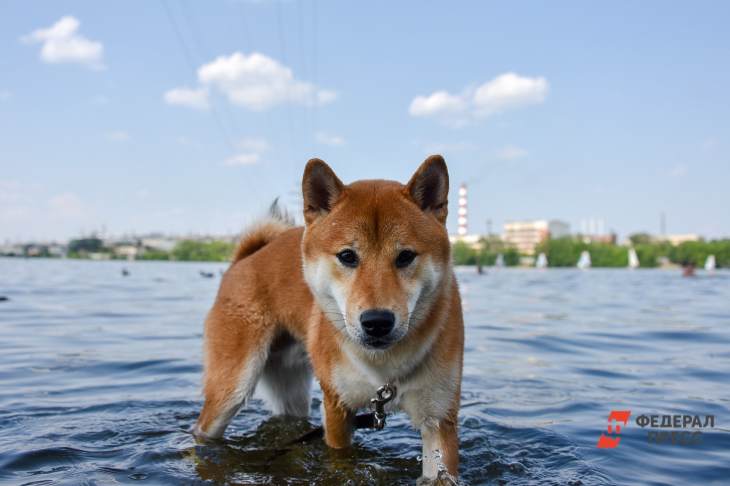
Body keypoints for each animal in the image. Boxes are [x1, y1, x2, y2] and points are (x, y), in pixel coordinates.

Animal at [193, 156, 464, 478]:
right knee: (203, 428)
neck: (383, 370)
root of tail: (246, 258)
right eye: (347, 256)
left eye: (405, 256)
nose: (377, 322)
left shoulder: (438, 418)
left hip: (290, 389)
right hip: (232, 387)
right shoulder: (337, 408)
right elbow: (341, 459)